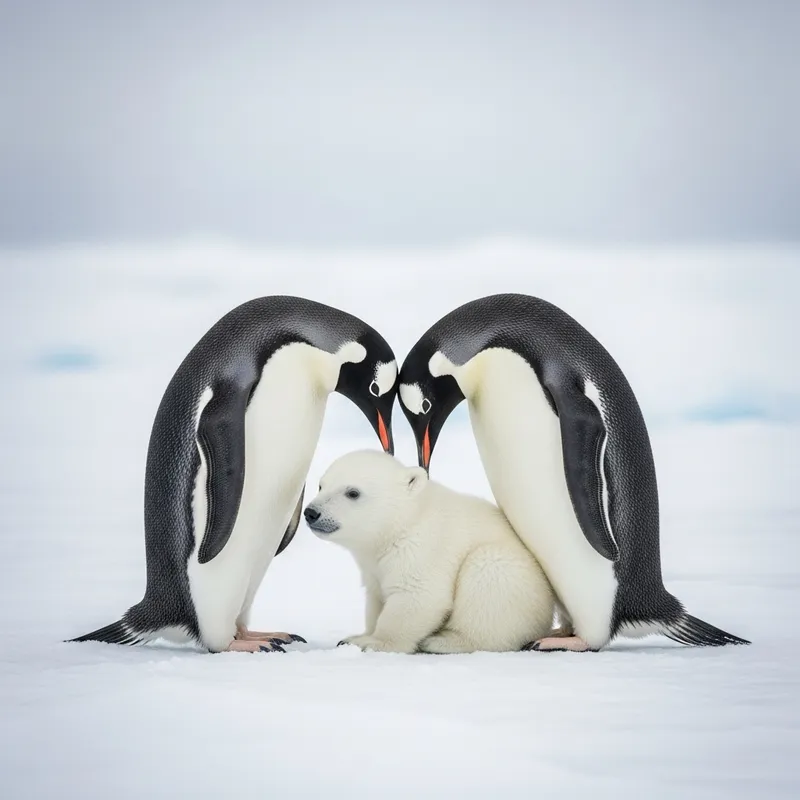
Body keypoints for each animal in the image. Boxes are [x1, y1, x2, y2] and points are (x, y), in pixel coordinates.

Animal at [303, 449, 559, 654]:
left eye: (353, 492)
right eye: (321, 485)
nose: (311, 512)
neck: (402, 522)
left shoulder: (421, 548)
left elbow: (418, 596)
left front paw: (372, 642)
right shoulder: (372, 564)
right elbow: (376, 596)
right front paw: (356, 636)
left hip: (510, 577)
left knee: (488, 575)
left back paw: (443, 641)